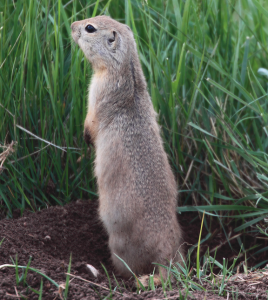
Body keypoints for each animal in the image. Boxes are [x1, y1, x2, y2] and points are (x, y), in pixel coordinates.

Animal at [71, 14, 184, 282]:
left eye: (89, 28)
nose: (71, 25)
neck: (127, 72)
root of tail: (167, 253)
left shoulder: (97, 92)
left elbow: (91, 120)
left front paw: (86, 138)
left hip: (120, 244)